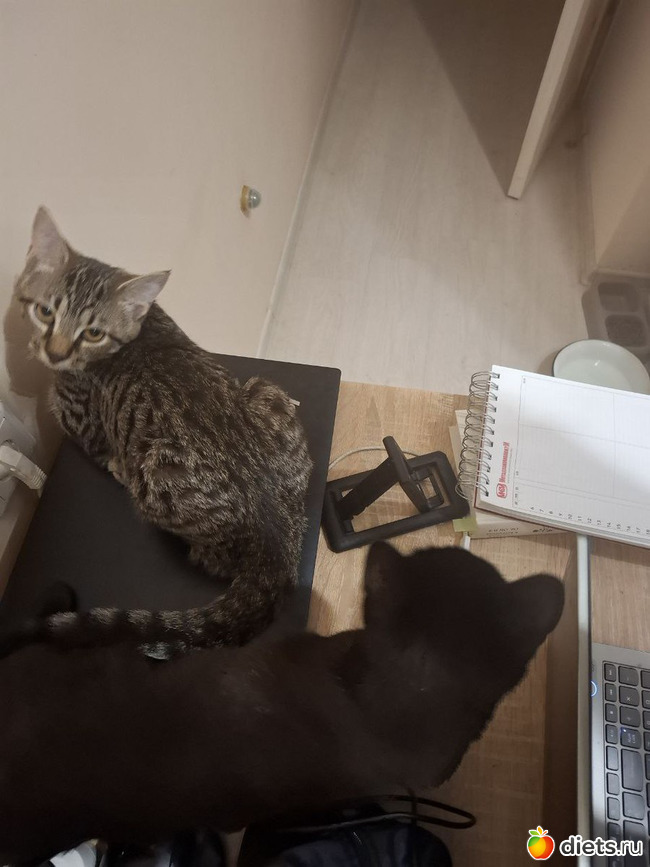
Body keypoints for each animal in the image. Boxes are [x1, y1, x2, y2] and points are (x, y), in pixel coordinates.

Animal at [9, 206, 312, 653]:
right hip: (265, 391)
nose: (55, 352)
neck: (141, 320)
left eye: (92, 332)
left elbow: (87, 436)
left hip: (156, 480)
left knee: (209, 558)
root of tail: (279, 542)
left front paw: (111, 461)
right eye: (45, 312)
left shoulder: (80, 419)